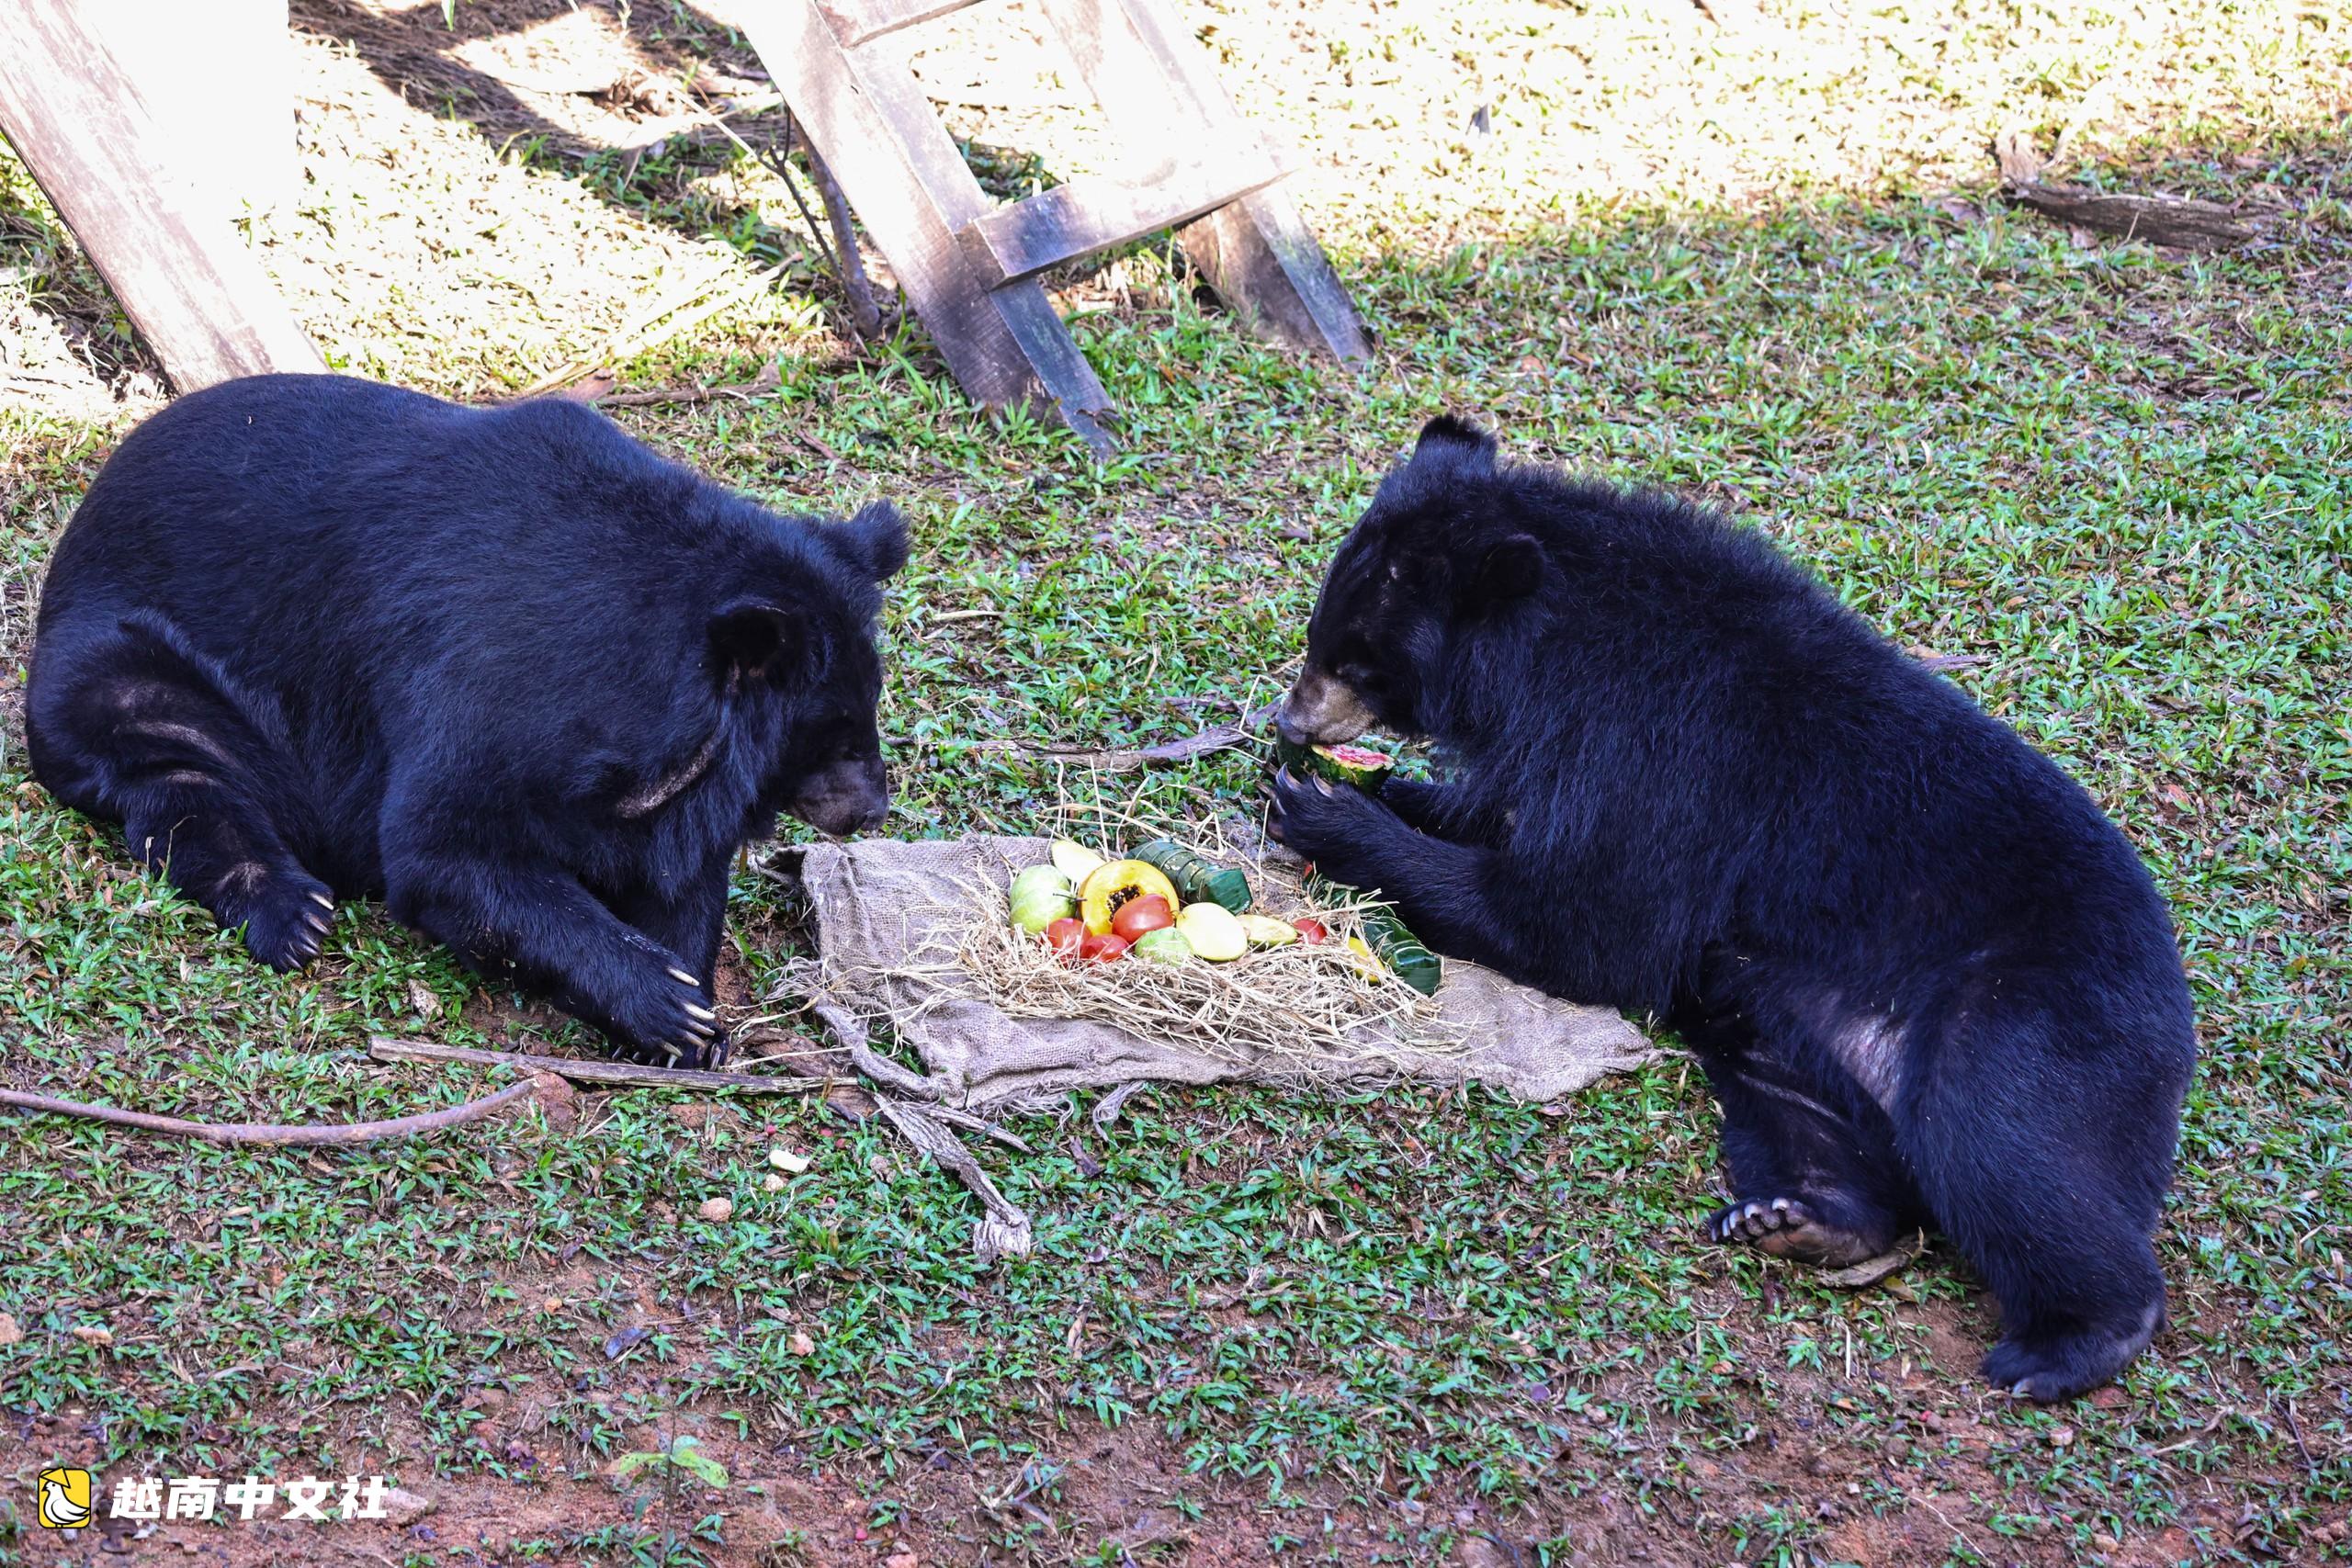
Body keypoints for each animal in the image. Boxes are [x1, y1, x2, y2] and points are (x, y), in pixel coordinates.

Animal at [27, 373, 908, 1069]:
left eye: (863, 714)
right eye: (833, 734)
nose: (874, 807)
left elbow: (679, 872)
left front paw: (697, 1022)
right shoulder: (485, 691)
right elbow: (445, 851)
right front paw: (665, 1000)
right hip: (130, 658)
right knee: (179, 775)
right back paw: (292, 912)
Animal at [1267, 415, 2196, 1402]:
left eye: (1356, 661)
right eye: (1323, 637)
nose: (1291, 722)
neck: (1551, 651)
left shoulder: (1658, 753)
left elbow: (1585, 922)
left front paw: (1326, 811)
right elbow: (1508, 826)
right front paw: (1382, 791)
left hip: (2037, 1012)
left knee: (2002, 1141)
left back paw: (2068, 1344)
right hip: (1788, 1020)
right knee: (1793, 1106)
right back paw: (1802, 1217)